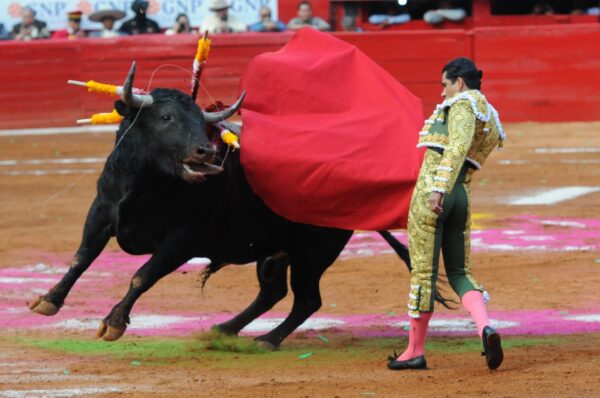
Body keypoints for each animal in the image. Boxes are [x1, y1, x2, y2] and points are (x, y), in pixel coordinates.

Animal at [30, 64, 448, 348]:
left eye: (201, 122)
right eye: (165, 117)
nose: (206, 152)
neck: (149, 183)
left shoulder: (182, 240)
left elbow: (141, 276)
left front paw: (114, 323)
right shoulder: (101, 213)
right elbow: (81, 258)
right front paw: (48, 301)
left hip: (314, 249)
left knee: (306, 299)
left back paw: (266, 339)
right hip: (275, 251)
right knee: (273, 292)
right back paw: (225, 328)